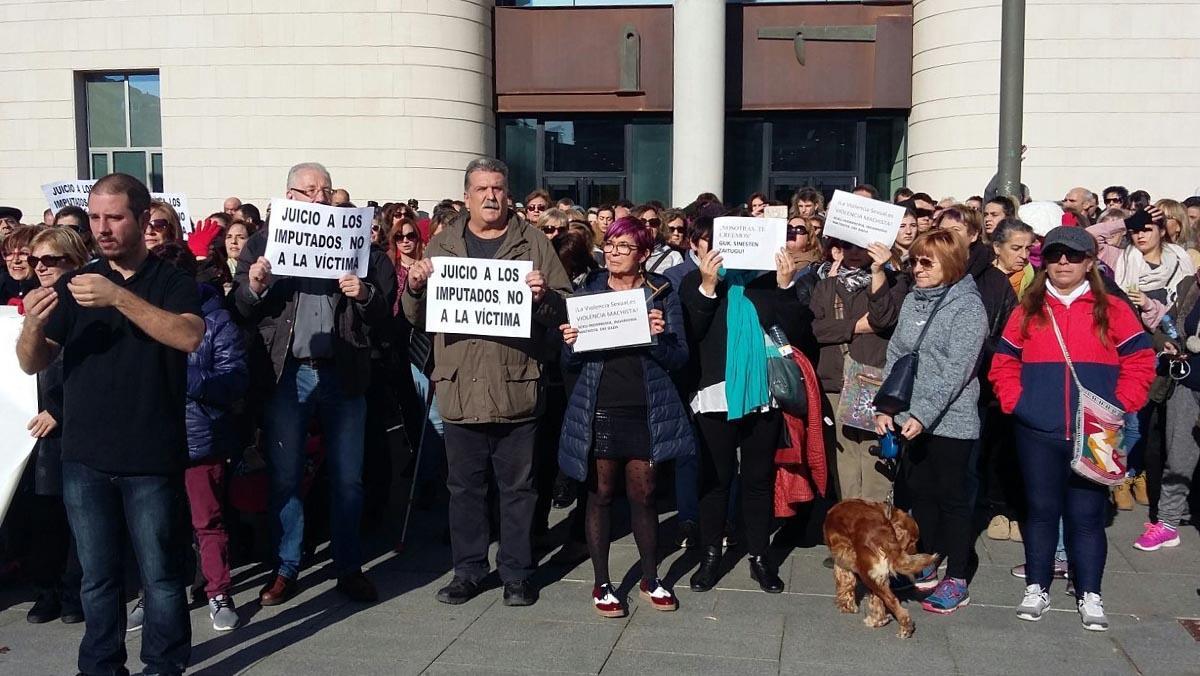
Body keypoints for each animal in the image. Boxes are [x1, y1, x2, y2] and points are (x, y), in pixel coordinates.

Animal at [825, 497, 936, 638]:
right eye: (913, 541)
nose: (915, 551)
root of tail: (883, 534)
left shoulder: (841, 561)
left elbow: (845, 585)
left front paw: (846, 607)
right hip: (874, 575)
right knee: (881, 598)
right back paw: (879, 621)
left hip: (866, 574)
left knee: (892, 601)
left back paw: (905, 629)